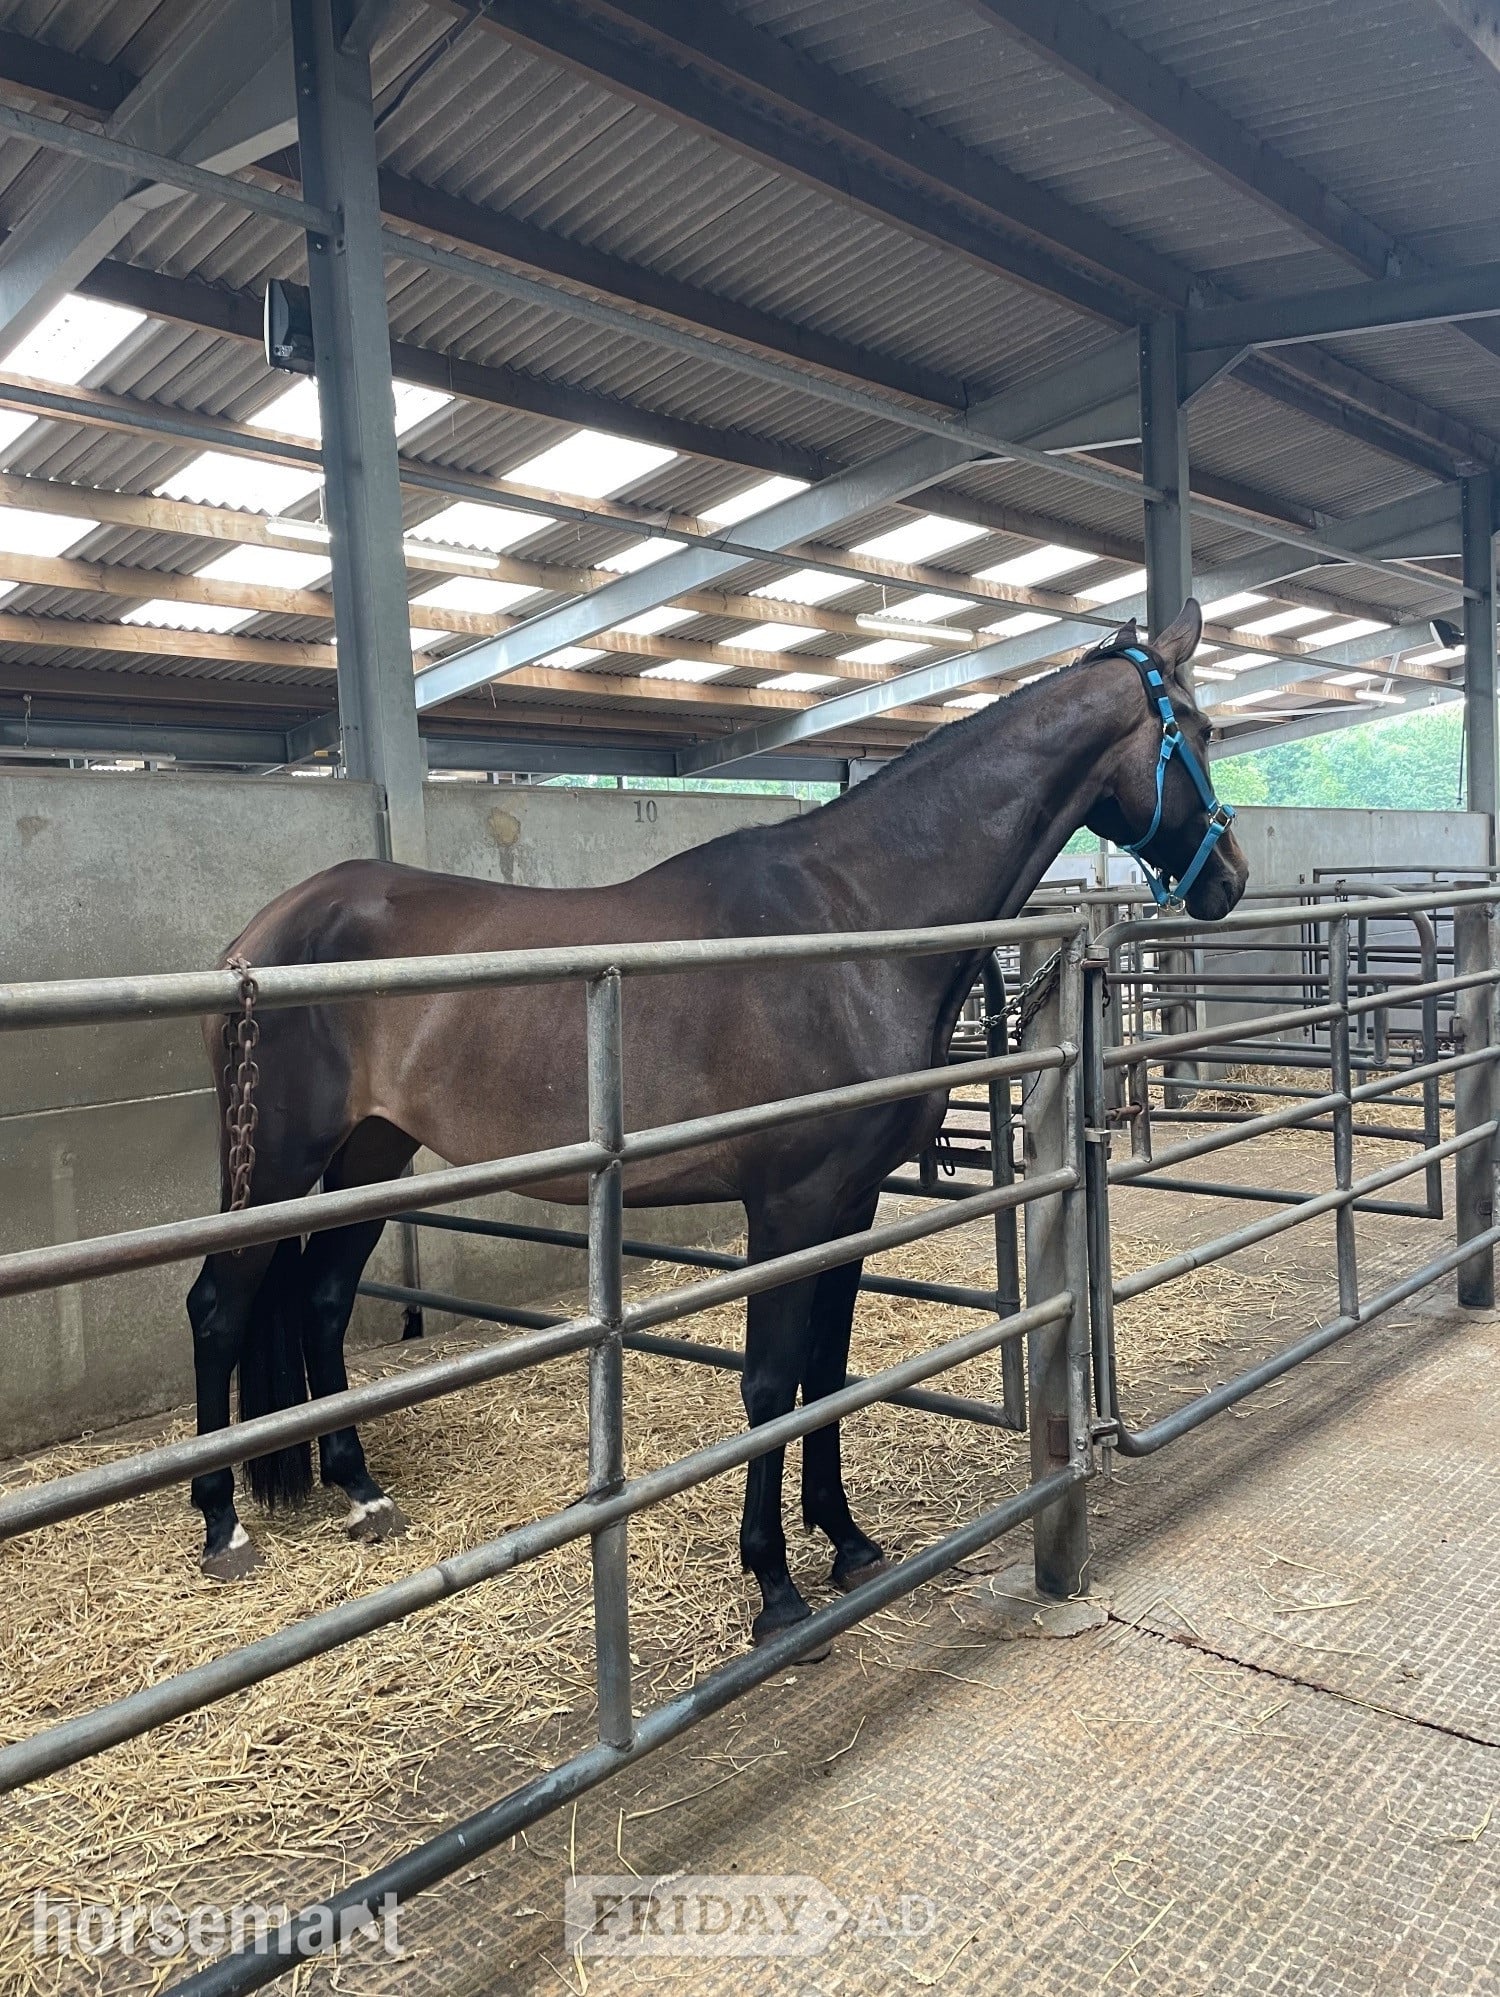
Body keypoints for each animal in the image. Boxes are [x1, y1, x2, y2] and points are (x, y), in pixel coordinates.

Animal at [186, 603, 1247, 1641]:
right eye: (1199, 730)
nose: (1228, 879)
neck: (850, 925)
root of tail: (256, 939)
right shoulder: (787, 1203)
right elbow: (771, 1381)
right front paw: (774, 1585)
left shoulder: (849, 1202)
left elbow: (827, 1370)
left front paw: (846, 1541)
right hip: (278, 1160)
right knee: (219, 1303)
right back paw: (223, 1523)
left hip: (369, 1151)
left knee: (320, 1296)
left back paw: (359, 1489)